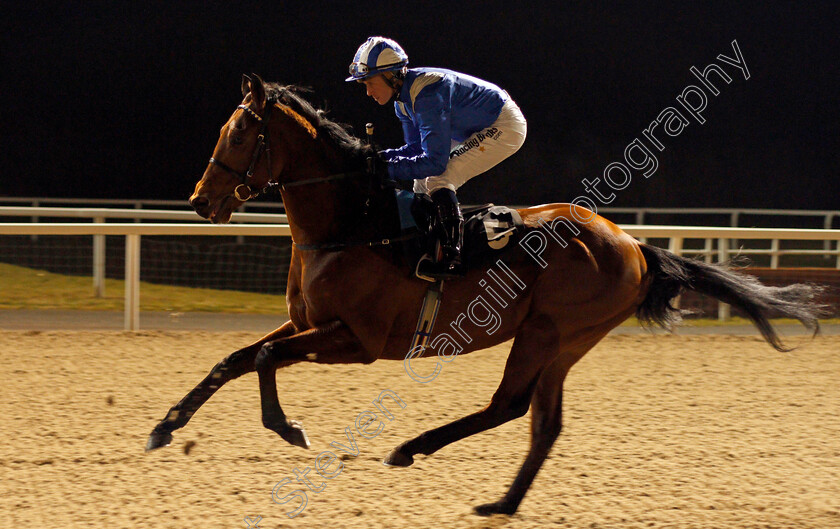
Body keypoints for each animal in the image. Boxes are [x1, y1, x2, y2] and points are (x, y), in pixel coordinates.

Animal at [149, 74, 828, 516]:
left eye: (240, 134)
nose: (201, 201)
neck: (353, 221)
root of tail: (633, 243)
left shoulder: (356, 340)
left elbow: (262, 359)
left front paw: (288, 428)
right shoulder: (305, 326)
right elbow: (232, 359)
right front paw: (165, 426)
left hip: (549, 330)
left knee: (512, 406)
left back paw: (413, 449)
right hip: (564, 341)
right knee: (543, 421)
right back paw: (501, 502)